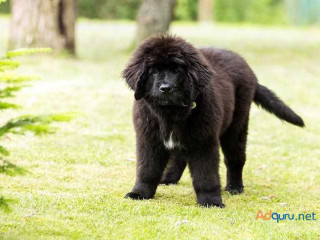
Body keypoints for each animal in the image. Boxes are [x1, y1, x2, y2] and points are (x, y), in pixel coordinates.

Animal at [121, 35, 304, 208]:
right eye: (153, 71)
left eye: (177, 70)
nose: (165, 88)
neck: (171, 113)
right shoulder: (149, 139)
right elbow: (147, 169)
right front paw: (139, 193)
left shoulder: (204, 141)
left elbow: (206, 174)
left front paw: (211, 201)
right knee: (179, 157)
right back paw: (168, 179)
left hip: (237, 125)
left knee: (235, 158)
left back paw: (235, 187)